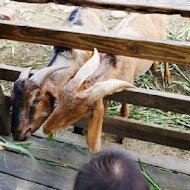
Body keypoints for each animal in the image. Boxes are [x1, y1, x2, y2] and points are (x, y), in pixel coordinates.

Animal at [40, 13, 167, 154]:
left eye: (78, 113)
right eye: (60, 101)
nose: (46, 129)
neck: (112, 63)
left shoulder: (127, 87)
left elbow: (124, 111)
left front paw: (121, 138)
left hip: (164, 37)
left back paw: (167, 78)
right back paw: (154, 66)